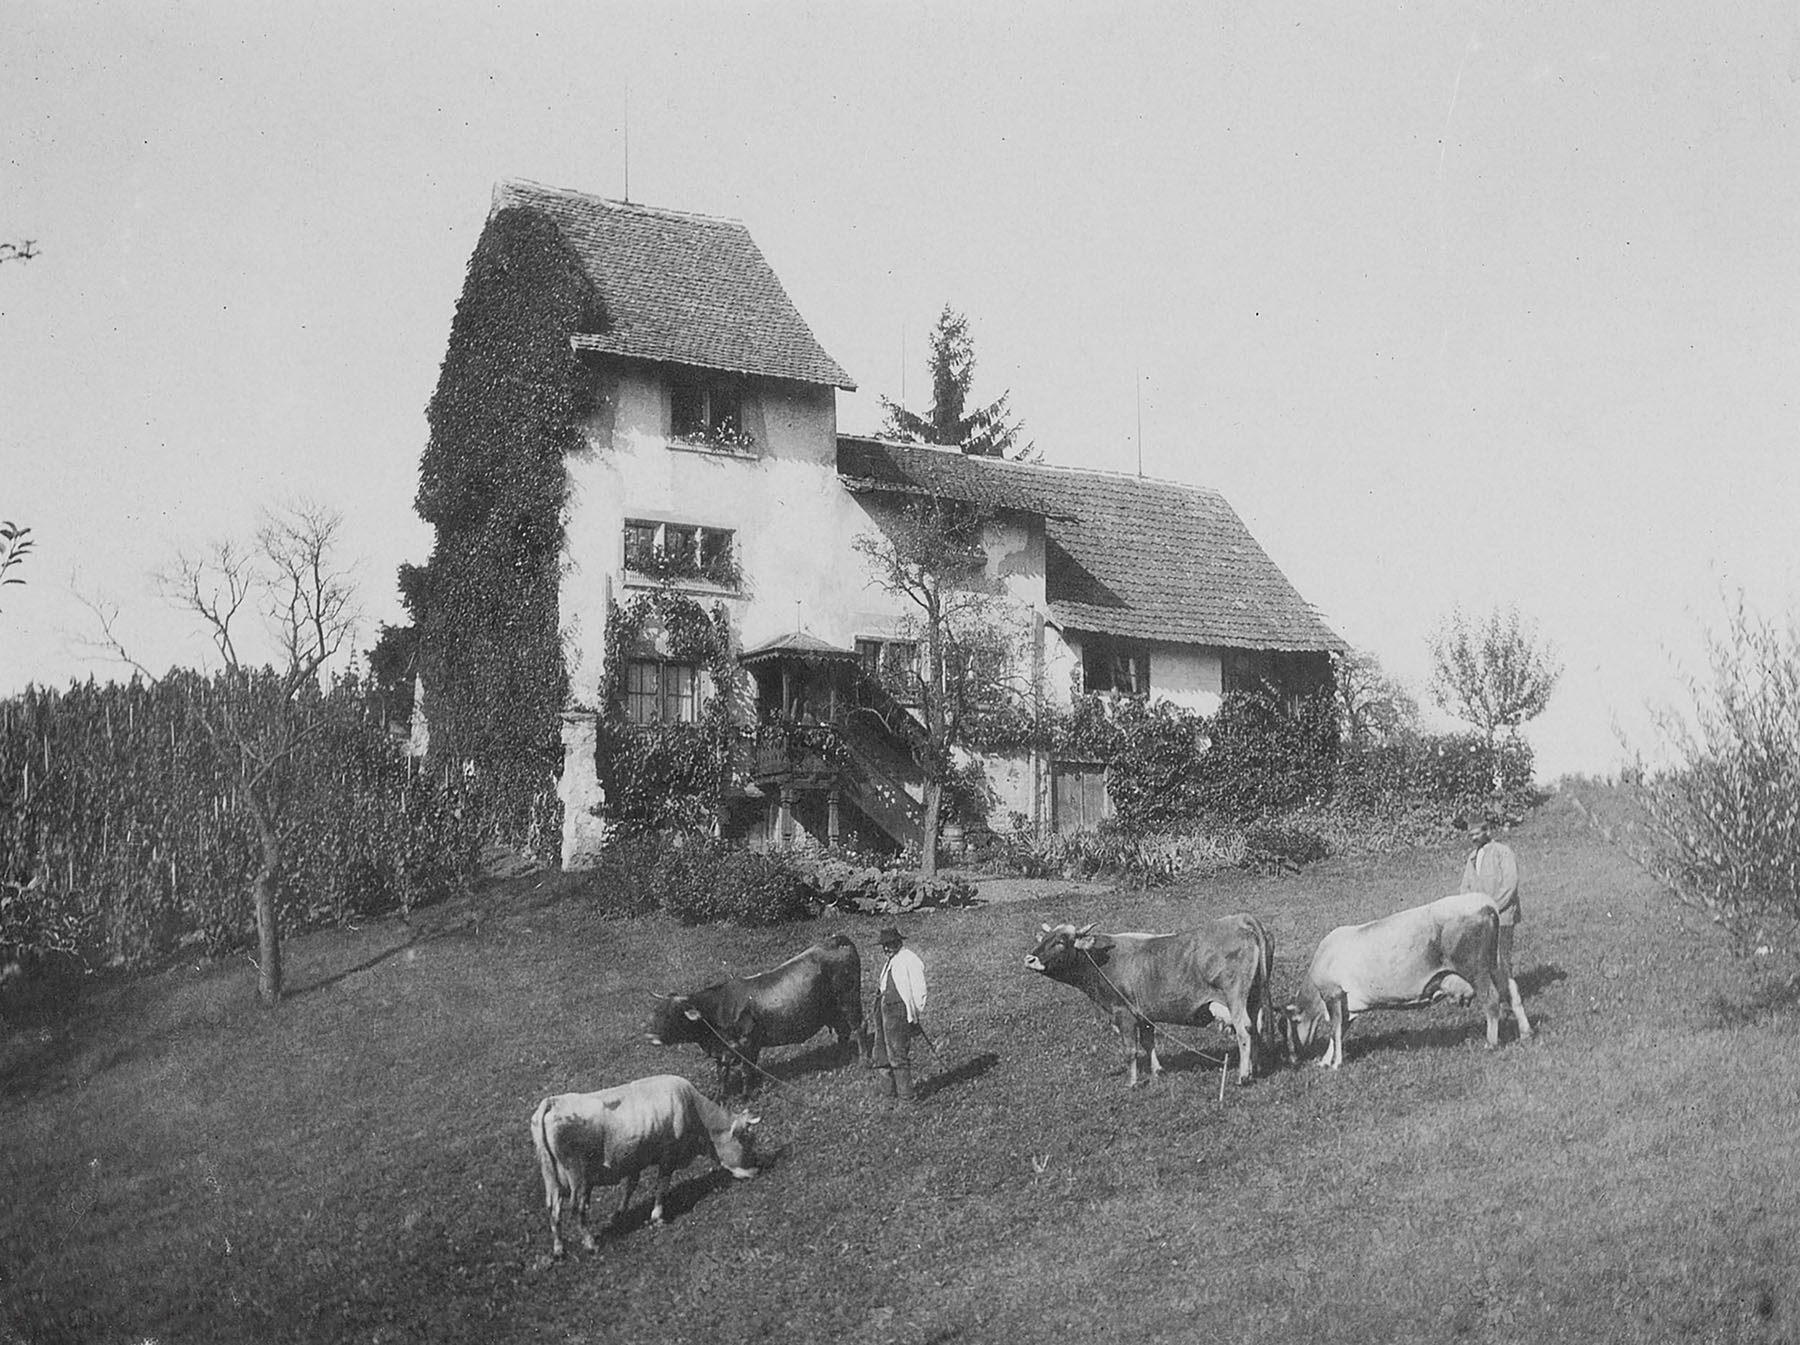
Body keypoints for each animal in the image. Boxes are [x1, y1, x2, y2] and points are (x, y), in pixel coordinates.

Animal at [529, 1073, 763, 1260]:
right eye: (746, 1140)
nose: (756, 1170)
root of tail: (553, 1101)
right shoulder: (668, 1155)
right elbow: (662, 1184)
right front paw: (657, 1215)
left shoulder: (635, 1158)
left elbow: (630, 1186)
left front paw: (619, 1213)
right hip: (578, 1177)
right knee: (577, 1208)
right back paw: (590, 1244)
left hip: (550, 1177)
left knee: (553, 1209)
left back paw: (559, 1249)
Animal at [648, 936, 871, 1094]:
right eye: (656, 1012)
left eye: (672, 1014)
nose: (651, 1036)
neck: (718, 1008)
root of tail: (836, 940)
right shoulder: (725, 1051)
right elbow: (723, 1074)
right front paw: (720, 1096)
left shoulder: (747, 1044)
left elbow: (746, 1071)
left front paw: (747, 1094)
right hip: (833, 1009)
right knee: (843, 1032)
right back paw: (838, 1056)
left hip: (849, 999)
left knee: (859, 1027)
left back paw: (863, 1061)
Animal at [1029, 914, 1281, 1094]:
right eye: (1044, 939)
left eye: (1061, 942)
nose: (1029, 958)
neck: (1102, 961)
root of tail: (1239, 919)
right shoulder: (1144, 1015)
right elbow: (1149, 1042)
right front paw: (1157, 1071)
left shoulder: (1124, 1013)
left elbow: (1131, 1050)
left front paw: (1132, 1083)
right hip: (1254, 996)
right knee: (1256, 1027)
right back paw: (1256, 1068)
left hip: (1235, 997)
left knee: (1244, 1030)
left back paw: (1243, 1076)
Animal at [1281, 893, 1533, 1073]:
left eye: (1292, 1024)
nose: (1292, 1059)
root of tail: (1485, 902)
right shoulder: (1348, 1005)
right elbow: (1340, 1031)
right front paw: (1325, 1060)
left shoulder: (1332, 993)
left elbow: (1334, 1029)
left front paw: (1334, 1064)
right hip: (1497, 963)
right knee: (1512, 991)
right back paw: (1526, 1033)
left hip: (1475, 968)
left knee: (1491, 999)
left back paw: (1491, 1043)